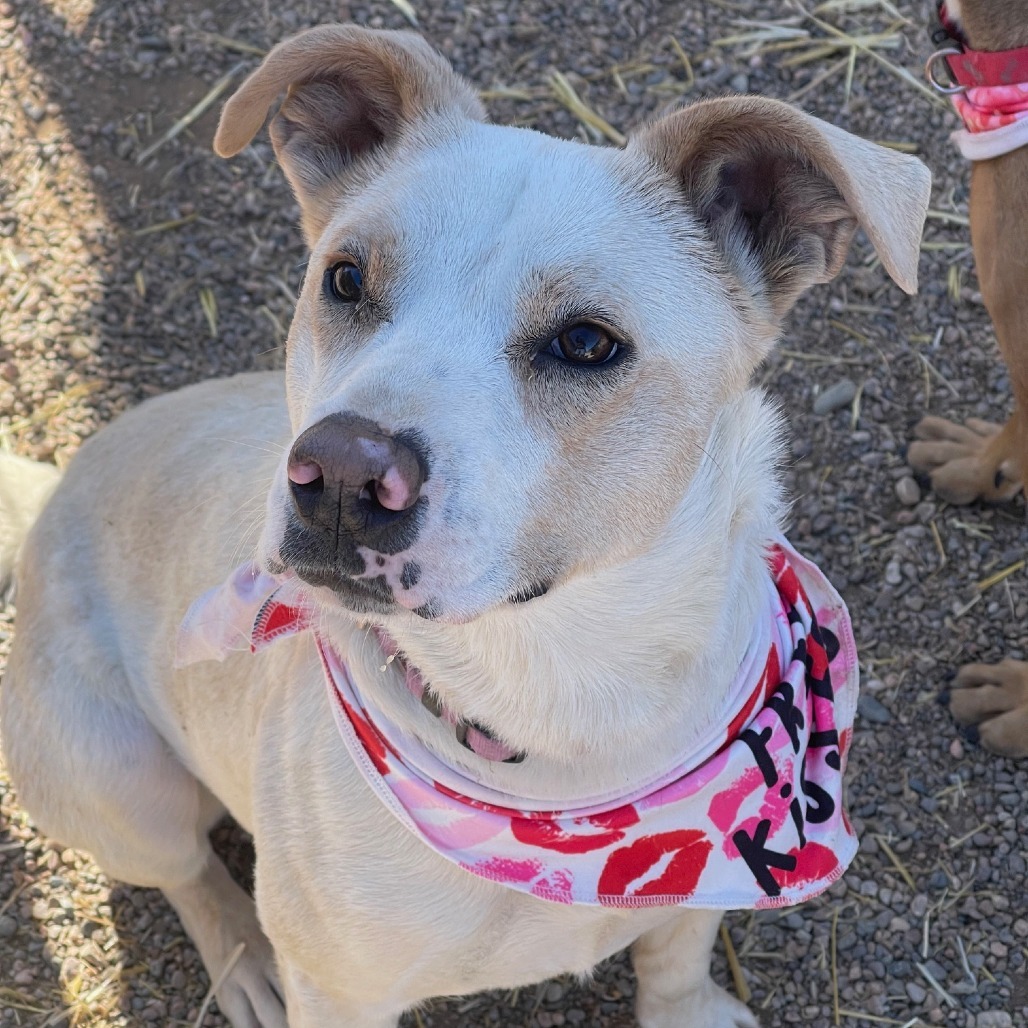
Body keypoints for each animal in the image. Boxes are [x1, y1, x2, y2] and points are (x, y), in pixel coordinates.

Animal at [2, 28, 933, 1028]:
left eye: (587, 342)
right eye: (345, 278)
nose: (339, 473)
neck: (560, 700)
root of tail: (56, 490)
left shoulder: (702, 889)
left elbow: (675, 956)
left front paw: (686, 1010)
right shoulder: (337, 992)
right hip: (123, 785)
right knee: (188, 874)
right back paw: (244, 963)